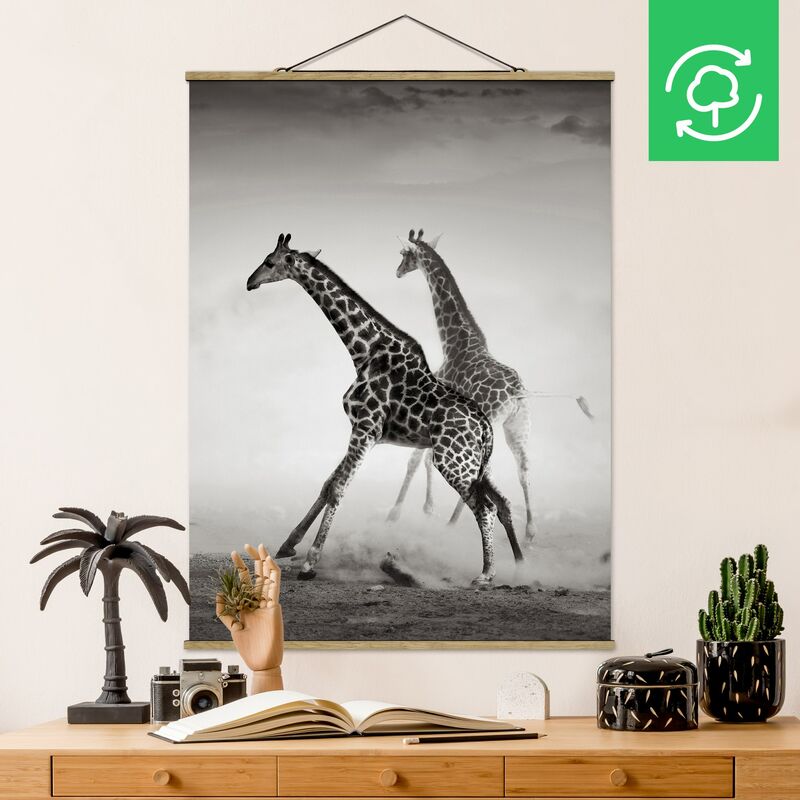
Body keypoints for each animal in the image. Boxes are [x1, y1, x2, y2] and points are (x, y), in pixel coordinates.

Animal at [246, 233, 523, 584]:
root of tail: (485, 428)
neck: (364, 350)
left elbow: (337, 489)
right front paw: (287, 545)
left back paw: (486, 574)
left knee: (483, 507)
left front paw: (309, 564)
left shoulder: (365, 428)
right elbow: (326, 485)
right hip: (477, 464)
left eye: (269, 262)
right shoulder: (362, 431)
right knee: (502, 503)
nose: (250, 282)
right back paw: (521, 567)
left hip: (452, 461)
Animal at [387, 229, 590, 543]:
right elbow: (426, 459)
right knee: (524, 468)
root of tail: (519, 392)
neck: (454, 343)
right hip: (518, 427)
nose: (397, 272)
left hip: (493, 424)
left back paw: (453, 523)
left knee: (485, 471)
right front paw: (426, 508)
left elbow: (415, 460)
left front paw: (396, 513)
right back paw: (530, 532)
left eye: (404, 254)